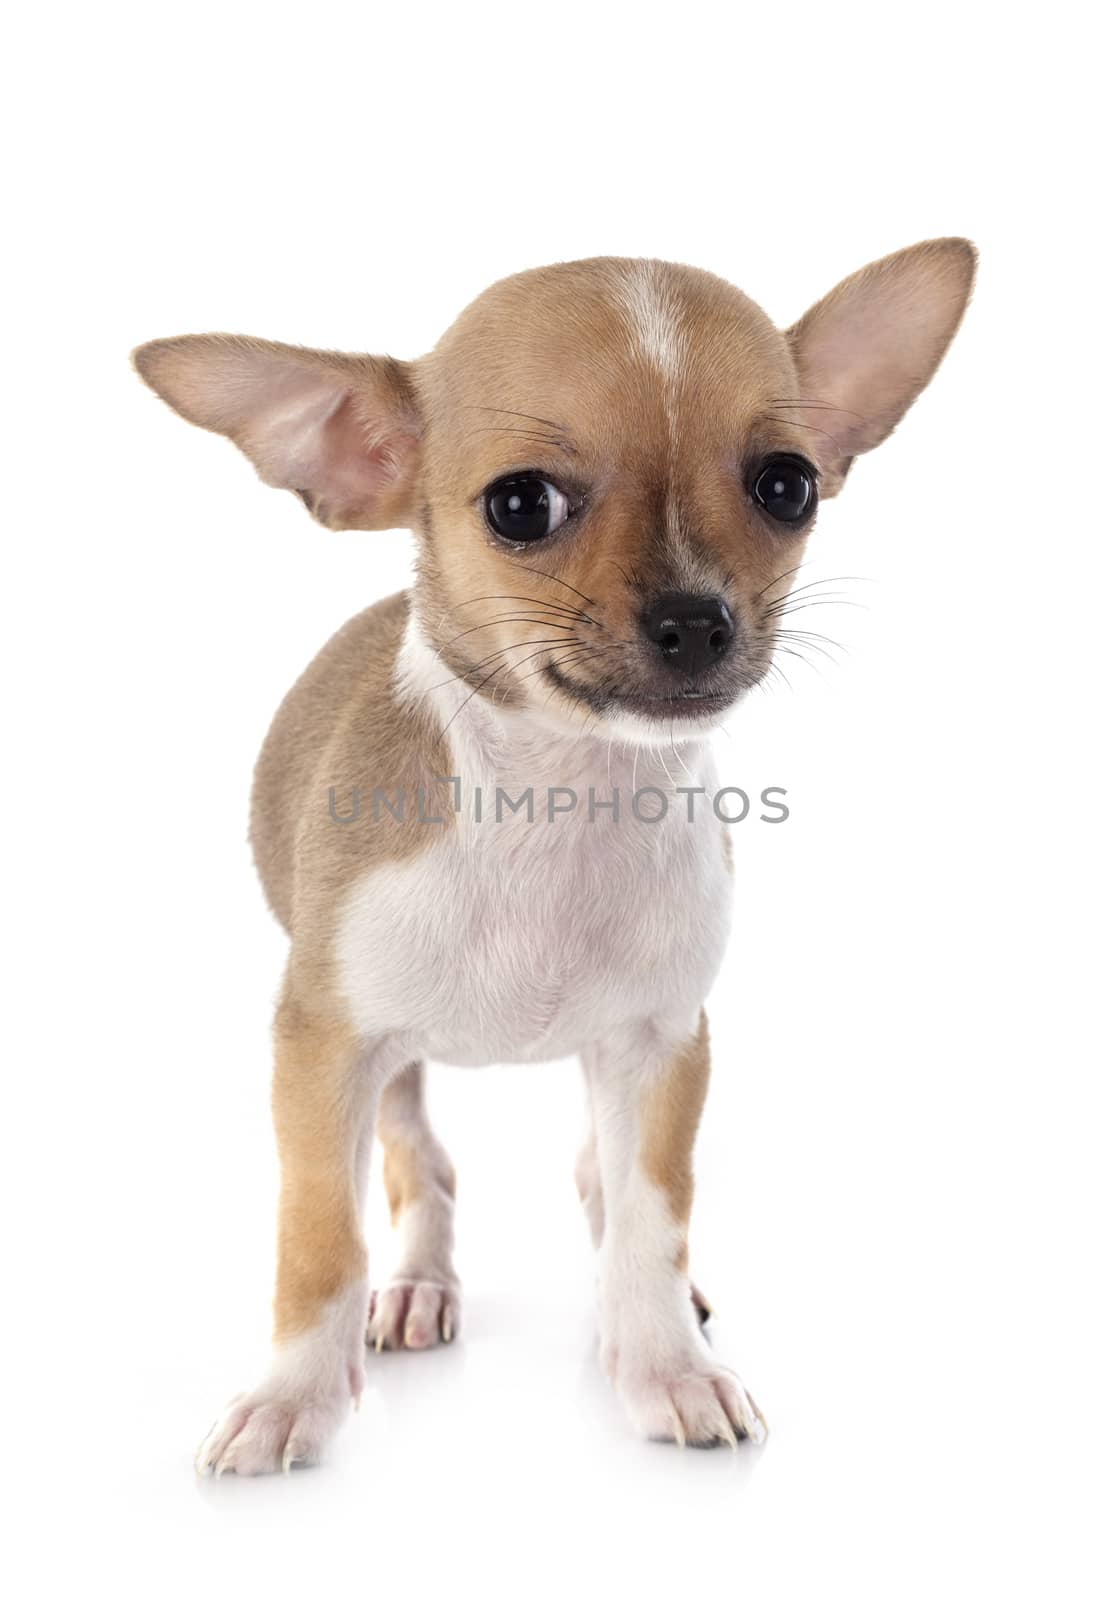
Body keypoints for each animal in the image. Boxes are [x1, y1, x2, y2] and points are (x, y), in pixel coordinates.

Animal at [135, 236, 978, 1472]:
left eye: (786, 484)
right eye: (520, 506)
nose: (698, 619)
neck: (559, 802)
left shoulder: (663, 1044)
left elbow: (650, 1216)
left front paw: (667, 1365)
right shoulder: (322, 1049)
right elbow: (320, 1236)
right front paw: (294, 1396)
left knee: (598, 1182)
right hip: (387, 1063)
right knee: (421, 1165)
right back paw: (417, 1288)